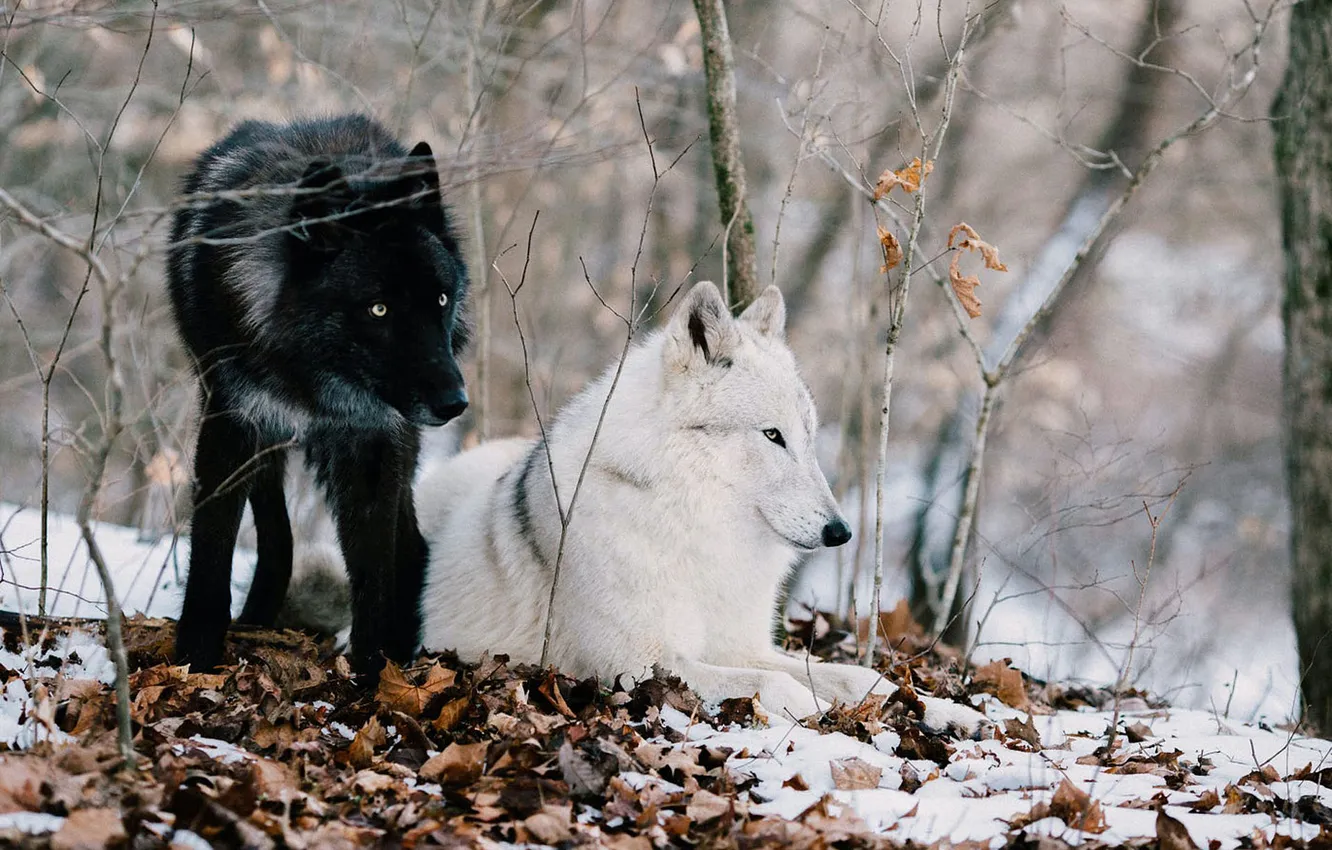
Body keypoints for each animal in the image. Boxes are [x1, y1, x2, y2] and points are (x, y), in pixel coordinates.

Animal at [167, 114, 469, 678]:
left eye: (440, 299)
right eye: (378, 309)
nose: (454, 403)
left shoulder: (372, 443)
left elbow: (373, 570)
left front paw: (374, 673)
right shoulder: (232, 421)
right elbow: (214, 547)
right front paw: (196, 657)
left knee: (410, 547)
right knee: (277, 534)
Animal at [289, 281, 982, 730]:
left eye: (807, 437)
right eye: (772, 436)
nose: (840, 531)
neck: (695, 529)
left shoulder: (739, 643)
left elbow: (861, 678)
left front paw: (941, 710)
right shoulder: (637, 664)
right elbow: (779, 683)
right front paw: (826, 713)